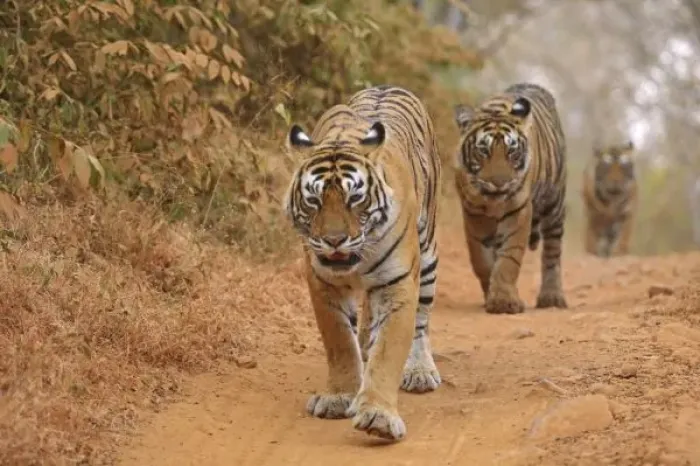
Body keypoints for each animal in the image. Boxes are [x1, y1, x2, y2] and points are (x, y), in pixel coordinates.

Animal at [283, 85, 442, 442]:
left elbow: (389, 351)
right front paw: (339, 397)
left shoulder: (397, 282)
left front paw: (378, 416)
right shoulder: (323, 283)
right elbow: (340, 343)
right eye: (313, 200)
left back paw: (420, 371)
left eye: (355, 198)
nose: (334, 240)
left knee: (421, 322)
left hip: (427, 256)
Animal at [452, 82, 568, 314]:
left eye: (511, 151)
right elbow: (481, 259)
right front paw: (492, 294)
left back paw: (551, 297)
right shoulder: (473, 214)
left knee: (552, 252)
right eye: (483, 150)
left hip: (554, 205)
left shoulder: (519, 211)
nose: (500, 183)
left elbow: (508, 259)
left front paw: (503, 301)